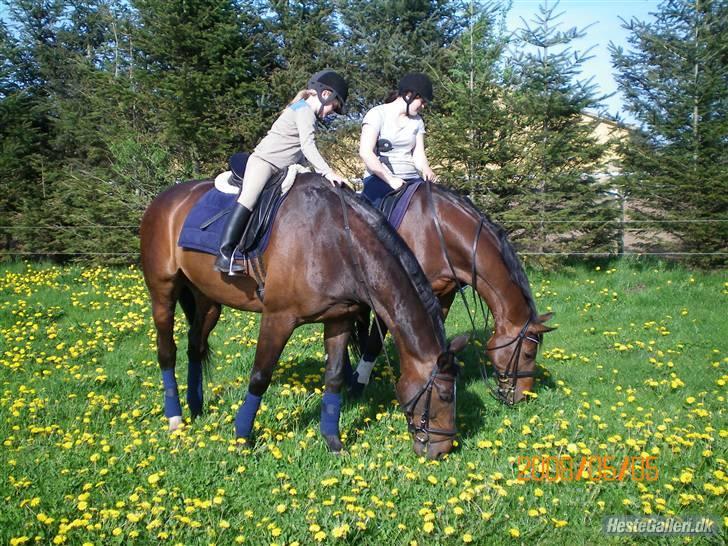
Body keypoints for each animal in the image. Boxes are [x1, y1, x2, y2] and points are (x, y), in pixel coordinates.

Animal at [139, 175, 466, 460]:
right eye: (445, 396)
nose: (442, 450)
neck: (337, 241)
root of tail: (164, 200)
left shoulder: (339, 319)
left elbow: (334, 378)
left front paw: (333, 441)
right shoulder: (278, 318)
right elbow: (260, 377)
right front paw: (242, 437)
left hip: (207, 300)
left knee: (195, 346)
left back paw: (196, 406)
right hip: (163, 291)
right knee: (167, 351)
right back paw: (175, 416)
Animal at [356, 183, 556, 404]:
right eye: (528, 354)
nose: (523, 397)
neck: (435, 232)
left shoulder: (443, 296)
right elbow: (375, 340)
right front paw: (357, 385)